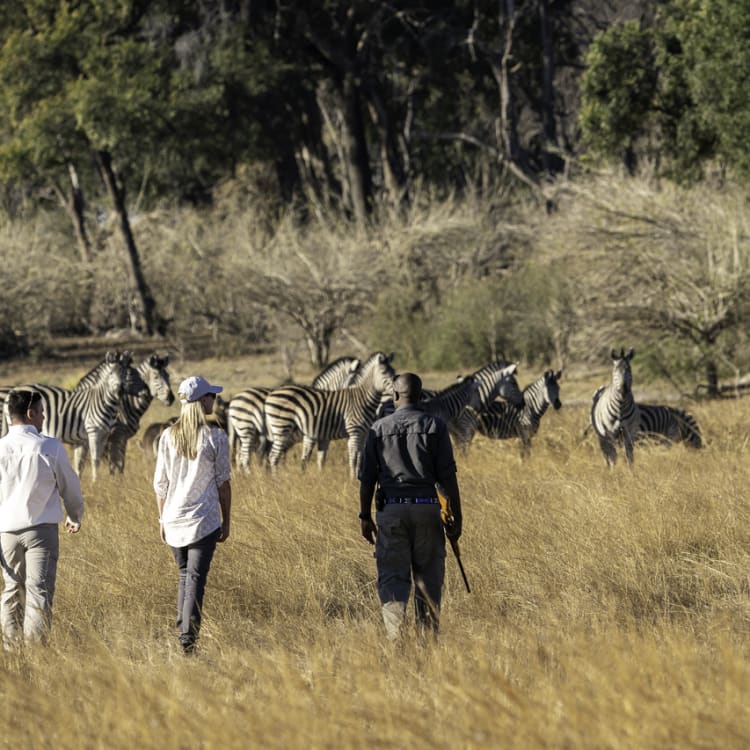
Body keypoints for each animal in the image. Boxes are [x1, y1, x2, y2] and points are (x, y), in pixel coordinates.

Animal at [2, 352, 145, 482]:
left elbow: (81, 463)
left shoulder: (97, 436)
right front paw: (96, 482)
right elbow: (95, 459)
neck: (103, 400)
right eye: (111, 374)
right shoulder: (94, 431)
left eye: (126, 374)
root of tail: (13, 391)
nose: (120, 391)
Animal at [262, 352, 396, 476]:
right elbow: (350, 457)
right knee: (273, 455)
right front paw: (352, 479)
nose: (395, 392)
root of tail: (271, 394)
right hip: (281, 427)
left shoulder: (357, 434)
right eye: (384, 373)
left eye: (394, 372)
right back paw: (276, 480)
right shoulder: (348, 432)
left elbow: (352, 457)